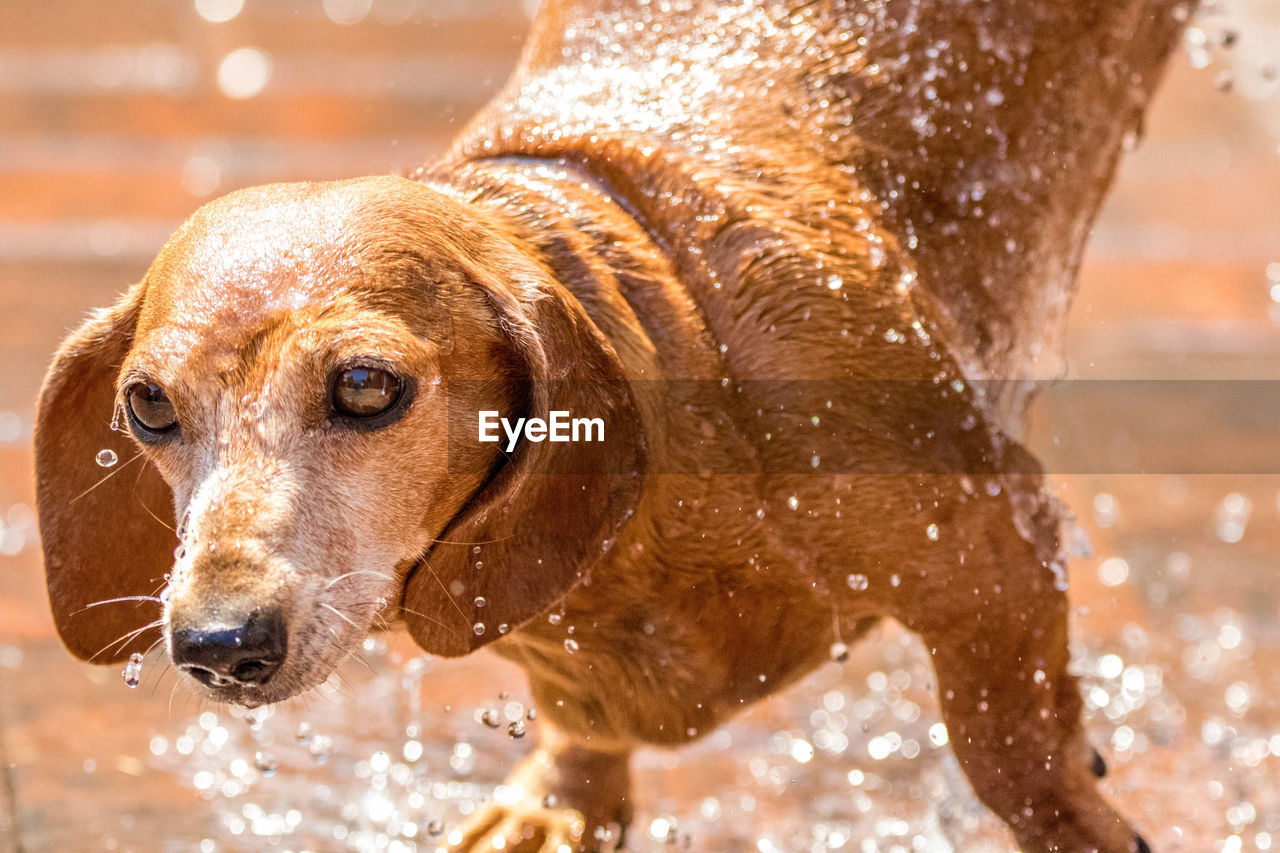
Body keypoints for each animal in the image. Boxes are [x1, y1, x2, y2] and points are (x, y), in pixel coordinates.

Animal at [37, 1, 1187, 850]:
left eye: (364, 385)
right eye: (148, 405)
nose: (216, 644)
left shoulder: (998, 560)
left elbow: (1010, 753)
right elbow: (581, 738)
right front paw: (558, 803)